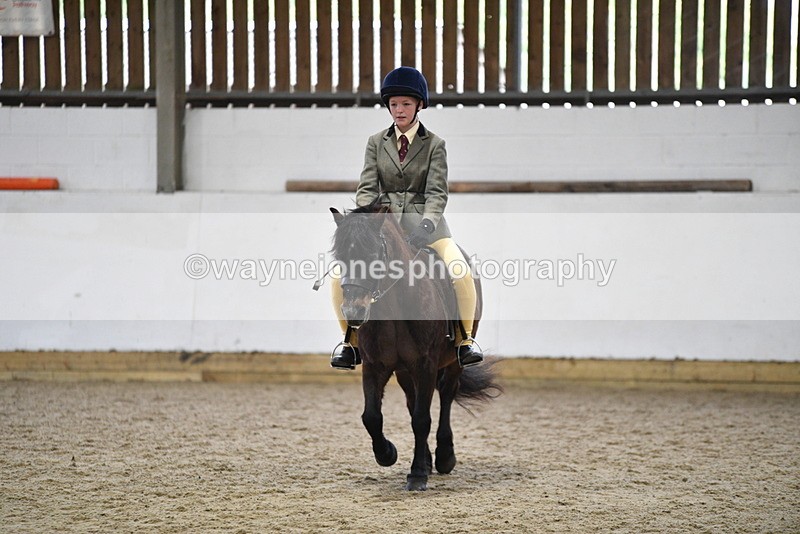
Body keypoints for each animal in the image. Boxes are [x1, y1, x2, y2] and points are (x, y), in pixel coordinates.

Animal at [329, 203, 501, 491]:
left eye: (374, 254)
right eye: (339, 257)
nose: (354, 312)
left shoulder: (425, 364)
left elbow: (422, 418)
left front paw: (418, 474)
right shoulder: (375, 366)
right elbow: (372, 416)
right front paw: (387, 454)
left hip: (451, 363)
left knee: (445, 396)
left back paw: (444, 458)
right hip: (404, 372)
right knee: (412, 402)